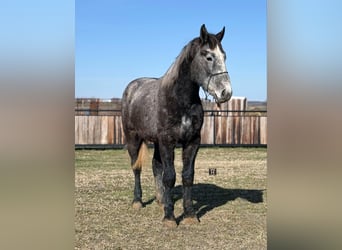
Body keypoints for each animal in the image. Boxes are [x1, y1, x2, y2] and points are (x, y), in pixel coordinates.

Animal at [121, 24, 232, 228]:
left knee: (156, 166)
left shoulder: (192, 142)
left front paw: (189, 215)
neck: (180, 100)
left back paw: (161, 199)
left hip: (156, 142)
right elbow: (170, 177)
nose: (225, 92)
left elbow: (187, 176)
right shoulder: (168, 142)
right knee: (136, 168)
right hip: (133, 138)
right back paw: (137, 201)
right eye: (208, 56)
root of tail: (131, 88)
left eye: (224, 56)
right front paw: (170, 218)